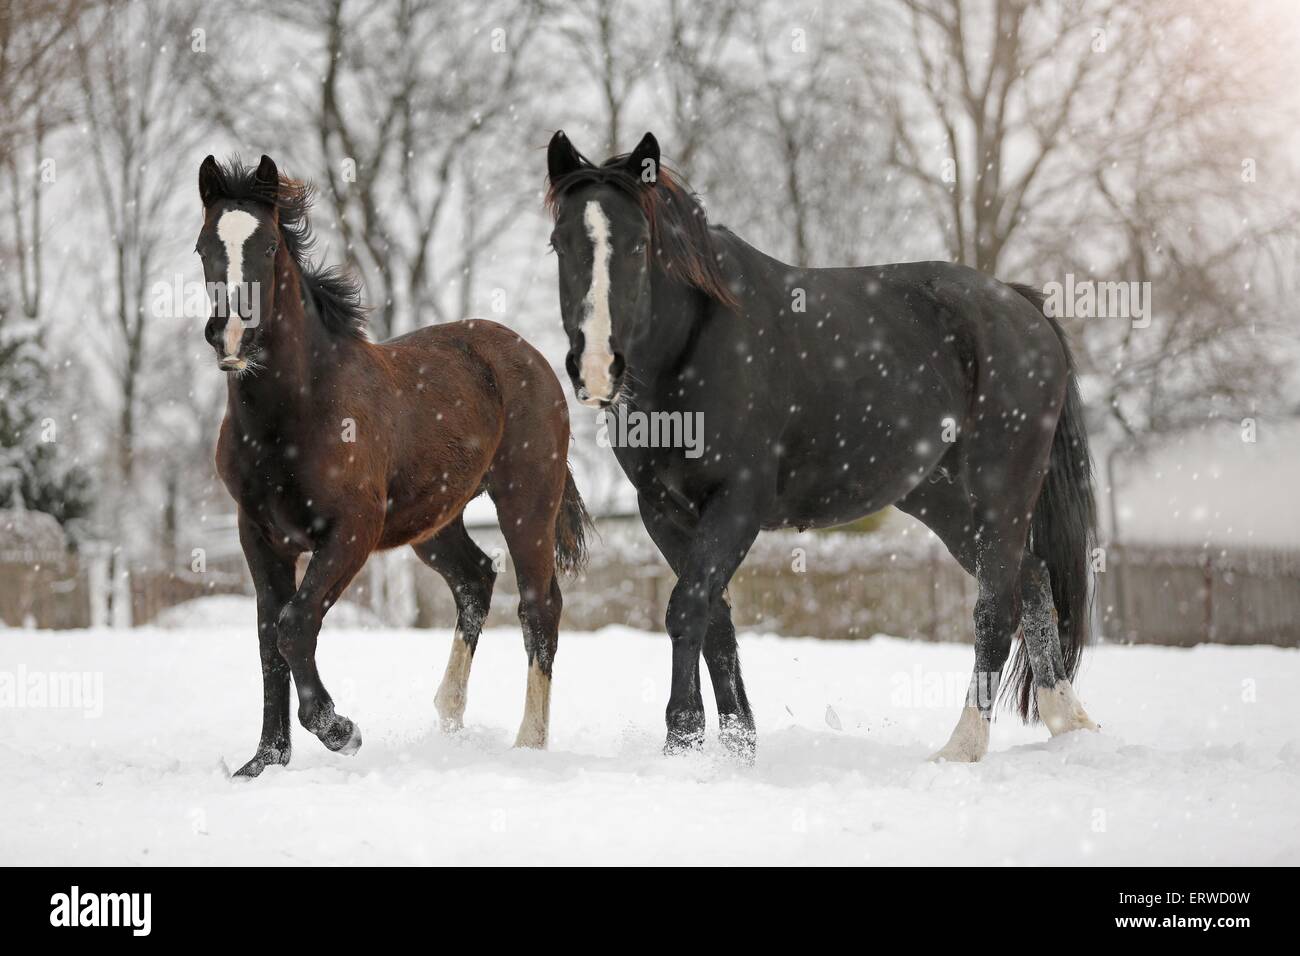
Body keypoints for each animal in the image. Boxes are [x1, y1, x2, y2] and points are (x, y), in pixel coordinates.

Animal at [196, 155, 590, 780]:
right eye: (204, 246)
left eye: (268, 246)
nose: (232, 335)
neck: (294, 414)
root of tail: (531, 356)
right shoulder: (259, 536)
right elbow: (266, 638)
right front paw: (263, 762)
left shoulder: (350, 533)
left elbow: (293, 626)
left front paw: (340, 731)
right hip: (434, 521)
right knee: (475, 578)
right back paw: (449, 721)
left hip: (526, 502)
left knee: (539, 604)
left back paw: (529, 743)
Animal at [543, 132, 1102, 764]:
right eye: (560, 243)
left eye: (640, 245)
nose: (595, 368)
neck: (697, 345)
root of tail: (1023, 307)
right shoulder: (662, 511)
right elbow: (716, 619)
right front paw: (737, 745)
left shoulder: (737, 504)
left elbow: (687, 608)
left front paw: (681, 740)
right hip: (941, 501)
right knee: (1030, 581)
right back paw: (1067, 721)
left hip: (1001, 490)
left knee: (994, 608)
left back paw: (963, 746)